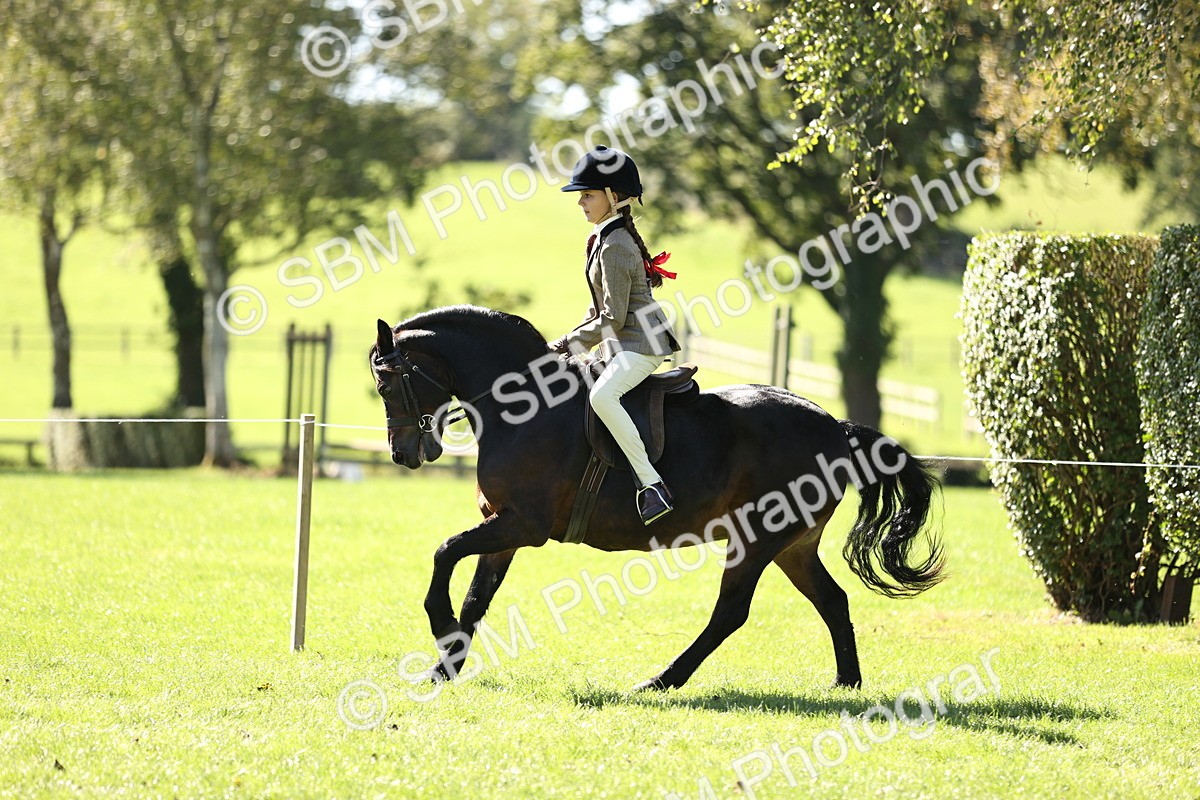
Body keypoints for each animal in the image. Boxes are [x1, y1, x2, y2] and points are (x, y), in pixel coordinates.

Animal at [369, 305, 943, 692]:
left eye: (386, 384)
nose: (403, 454)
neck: (522, 407)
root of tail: (835, 426)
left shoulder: (522, 526)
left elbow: (444, 553)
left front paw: (439, 628)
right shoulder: (501, 525)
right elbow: (476, 597)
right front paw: (444, 669)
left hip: (757, 539)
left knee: (731, 612)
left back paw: (662, 680)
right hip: (793, 546)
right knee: (831, 600)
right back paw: (846, 682)